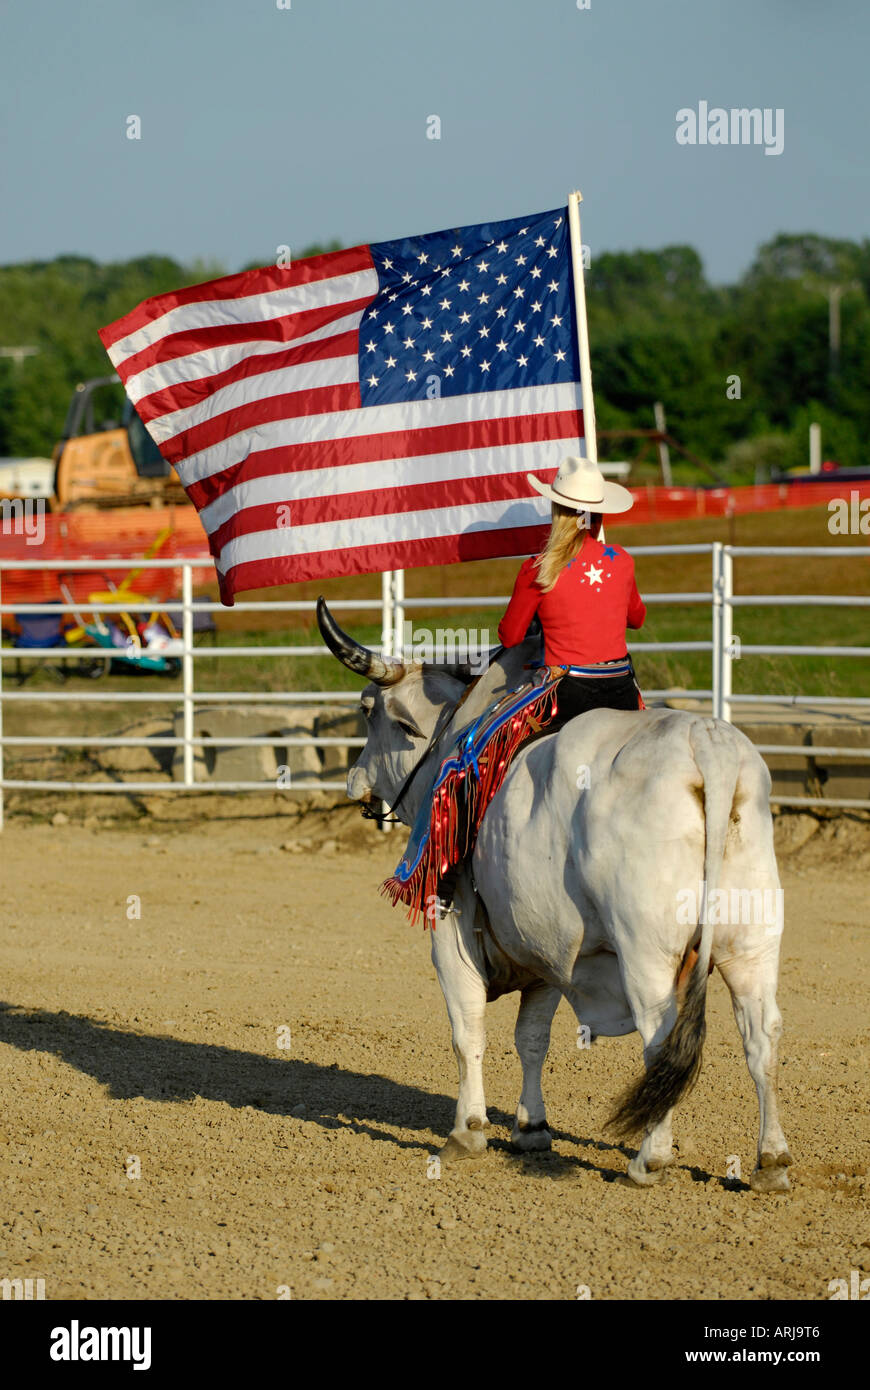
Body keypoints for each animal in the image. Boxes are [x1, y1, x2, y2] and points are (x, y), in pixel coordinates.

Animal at [315, 600, 789, 1195]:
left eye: (366, 711)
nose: (354, 781)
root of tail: (707, 746)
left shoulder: (451, 936)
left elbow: (467, 1031)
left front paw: (467, 1132)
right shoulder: (545, 954)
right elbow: (532, 1038)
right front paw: (532, 1128)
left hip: (648, 955)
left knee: (659, 1041)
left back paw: (649, 1159)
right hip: (754, 945)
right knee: (761, 1039)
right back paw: (771, 1161)